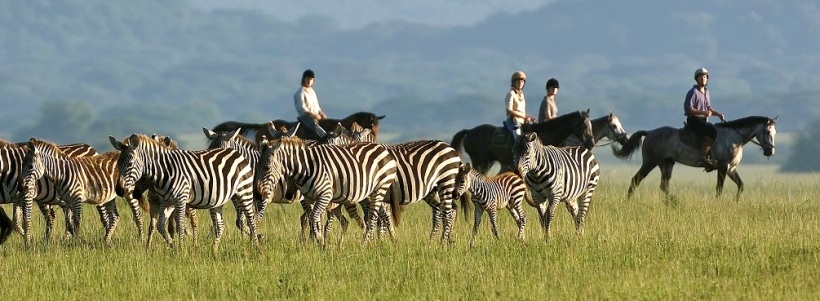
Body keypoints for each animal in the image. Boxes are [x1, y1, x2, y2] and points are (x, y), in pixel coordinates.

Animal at [109, 134, 256, 248]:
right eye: (117, 165)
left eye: (129, 164)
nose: (119, 190)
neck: (164, 171)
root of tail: (235, 152)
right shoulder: (165, 202)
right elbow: (160, 226)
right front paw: (172, 245)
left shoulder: (180, 199)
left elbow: (180, 224)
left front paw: (181, 249)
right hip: (219, 199)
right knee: (220, 225)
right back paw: (214, 250)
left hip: (244, 192)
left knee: (251, 219)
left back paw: (256, 246)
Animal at [255, 135, 398, 245]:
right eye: (256, 167)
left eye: (267, 168)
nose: (257, 195)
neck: (305, 167)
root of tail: (382, 148)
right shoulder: (309, 197)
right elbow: (313, 218)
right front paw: (318, 241)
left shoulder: (325, 195)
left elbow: (314, 217)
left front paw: (319, 240)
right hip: (369, 193)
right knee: (380, 214)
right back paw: (386, 240)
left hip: (380, 188)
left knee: (373, 216)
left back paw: (366, 243)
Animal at [616, 115, 776, 199]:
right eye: (768, 132)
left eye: (775, 133)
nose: (770, 151)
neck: (733, 139)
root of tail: (649, 132)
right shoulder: (723, 167)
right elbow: (719, 189)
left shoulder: (731, 168)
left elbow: (741, 185)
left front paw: (736, 201)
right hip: (650, 162)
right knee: (635, 180)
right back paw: (628, 201)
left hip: (667, 163)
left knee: (664, 186)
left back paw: (672, 202)